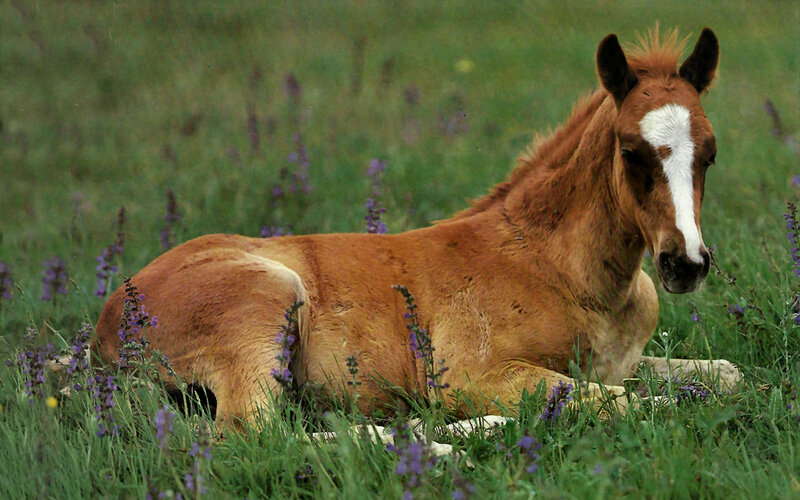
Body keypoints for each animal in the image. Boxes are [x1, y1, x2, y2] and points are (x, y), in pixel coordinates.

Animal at [94, 27, 741, 428]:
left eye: (711, 153)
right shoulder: (473, 373)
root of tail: (104, 329)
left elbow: (722, 376)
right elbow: (630, 402)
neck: (564, 270)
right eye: (631, 151)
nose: (686, 263)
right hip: (267, 302)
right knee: (251, 437)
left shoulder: (622, 359)